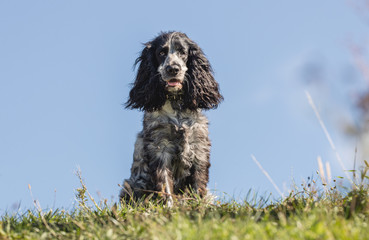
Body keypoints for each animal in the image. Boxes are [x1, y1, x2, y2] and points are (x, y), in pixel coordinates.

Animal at [119, 31, 221, 204]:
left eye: (182, 52)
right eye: (161, 53)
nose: (173, 68)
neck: (176, 104)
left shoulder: (199, 147)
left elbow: (198, 184)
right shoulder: (160, 148)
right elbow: (165, 185)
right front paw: (169, 207)